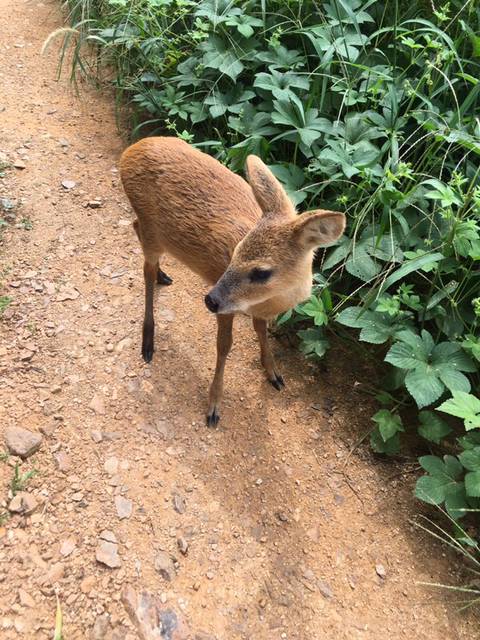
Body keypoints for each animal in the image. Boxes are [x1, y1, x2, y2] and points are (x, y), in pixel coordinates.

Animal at [120, 136, 344, 424]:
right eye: (235, 251)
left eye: (261, 272)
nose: (210, 300)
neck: (266, 301)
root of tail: (131, 150)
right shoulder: (227, 307)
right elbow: (224, 346)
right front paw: (213, 406)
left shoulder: (257, 309)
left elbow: (261, 330)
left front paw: (274, 373)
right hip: (151, 230)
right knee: (144, 265)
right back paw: (148, 340)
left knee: (135, 228)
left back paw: (163, 276)